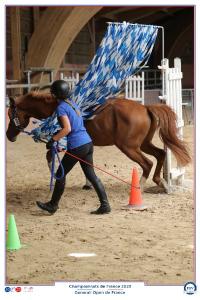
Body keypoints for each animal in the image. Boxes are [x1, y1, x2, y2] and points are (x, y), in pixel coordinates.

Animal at [6, 92, 191, 190]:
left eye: (10, 114)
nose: (9, 136)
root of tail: (145, 108)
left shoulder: (62, 144)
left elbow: (50, 157)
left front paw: (55, 179)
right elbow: (87, 164)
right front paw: (89, 183)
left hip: (129, 147)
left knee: (147, 163)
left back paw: (139, 185)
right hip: (143, 144)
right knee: (160, 155)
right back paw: (161, 183)